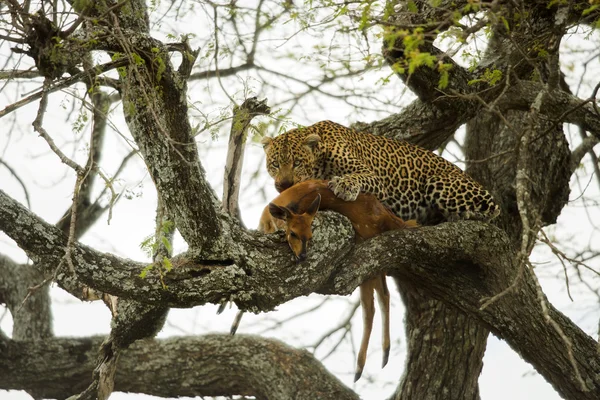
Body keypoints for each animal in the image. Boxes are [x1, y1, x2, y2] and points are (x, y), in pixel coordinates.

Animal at [260, 119, 500, 225]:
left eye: (297, 163)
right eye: (275, 165)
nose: (283, 185)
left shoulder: (374, 177)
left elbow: (357, 176)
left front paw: (344, 185)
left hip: (439, 183)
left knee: (493, 212)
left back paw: (465, 214)